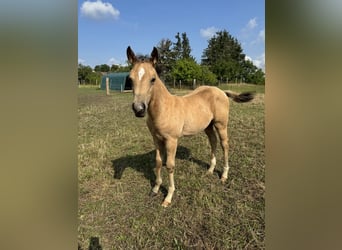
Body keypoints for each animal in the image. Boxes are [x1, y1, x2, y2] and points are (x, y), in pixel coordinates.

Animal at [125, 46, 254, 207]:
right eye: (130, 79)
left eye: (153, 79)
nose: (139, 109)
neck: (164, 109)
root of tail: (221, 92)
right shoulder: (156, 139)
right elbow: (159, 162)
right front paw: (155, 189)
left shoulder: (172, 140)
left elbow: (170, 165)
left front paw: (168, 197)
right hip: (208, 126)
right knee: (213, 142)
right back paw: (210, 170)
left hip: (221, 124)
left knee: (225, 145)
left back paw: (224, 175)